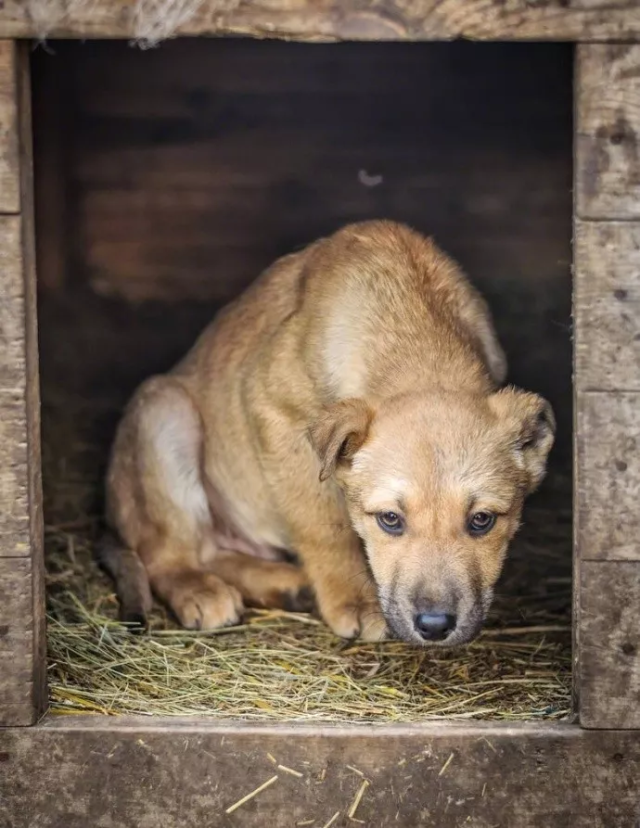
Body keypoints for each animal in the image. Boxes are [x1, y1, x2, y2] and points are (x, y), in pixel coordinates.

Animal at [101, 220, 556, 648]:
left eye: (482, 521)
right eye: (390, 519)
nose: (434, 625)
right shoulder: (277, 412)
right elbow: (326, 524)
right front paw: (353, 600)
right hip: (165, 411)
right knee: (164, 554)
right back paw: (199, 589)